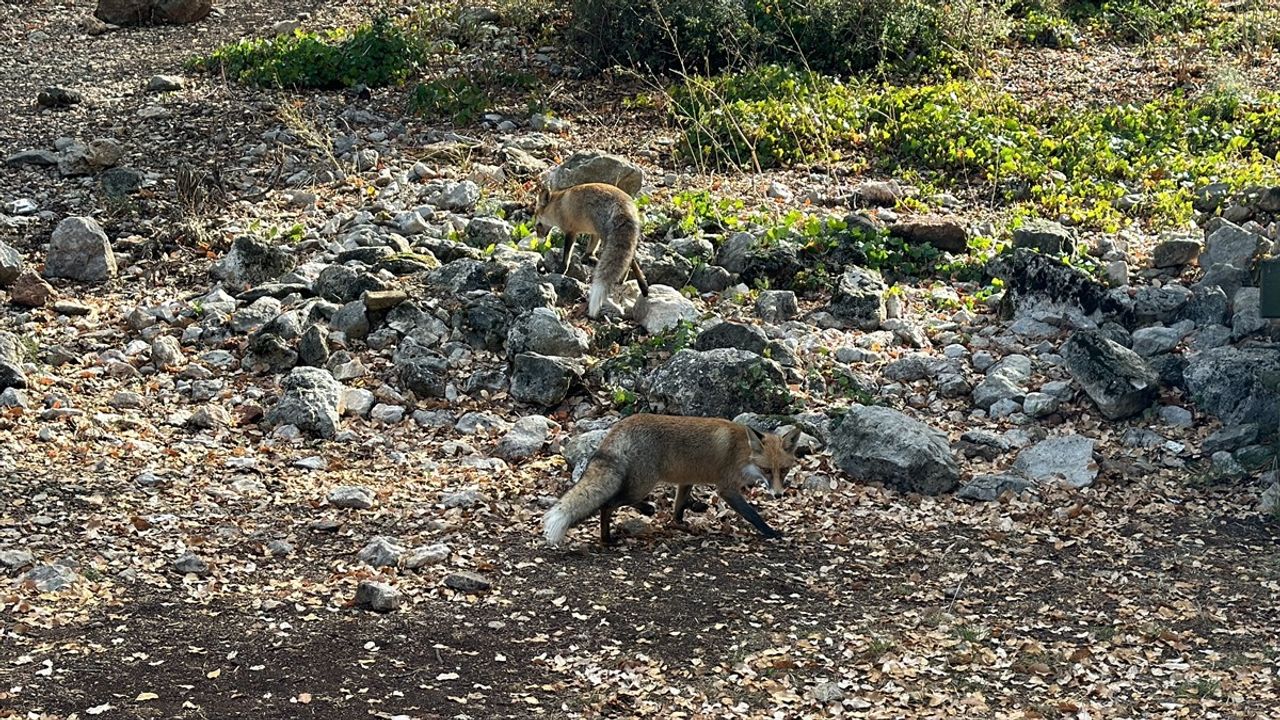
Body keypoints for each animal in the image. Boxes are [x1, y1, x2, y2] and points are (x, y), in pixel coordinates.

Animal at [532, 180, 650, 317]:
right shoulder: (594, 233)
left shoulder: (571, 231)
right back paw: (636, 284)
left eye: (537, 223)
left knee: (630, 261)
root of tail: (623, 205)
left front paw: (562, 270)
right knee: (630, 259)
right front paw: (587, 259)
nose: (539, 240)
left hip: (607, 237)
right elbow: (590, 249)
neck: (558, 207)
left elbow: (567, 255)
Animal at [540, 415, 798, 543]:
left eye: (784, 470)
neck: (742, 452)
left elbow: (678, 506)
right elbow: (753, 515)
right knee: (608, 504)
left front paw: (680, 522)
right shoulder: (726, 489)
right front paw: (771, 533)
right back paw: (608, 538)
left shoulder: (687, 479)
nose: (778, 495)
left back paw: (645, 510)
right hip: (645, 482)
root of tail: (621, 424)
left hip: (641, 482)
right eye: (767, 470)